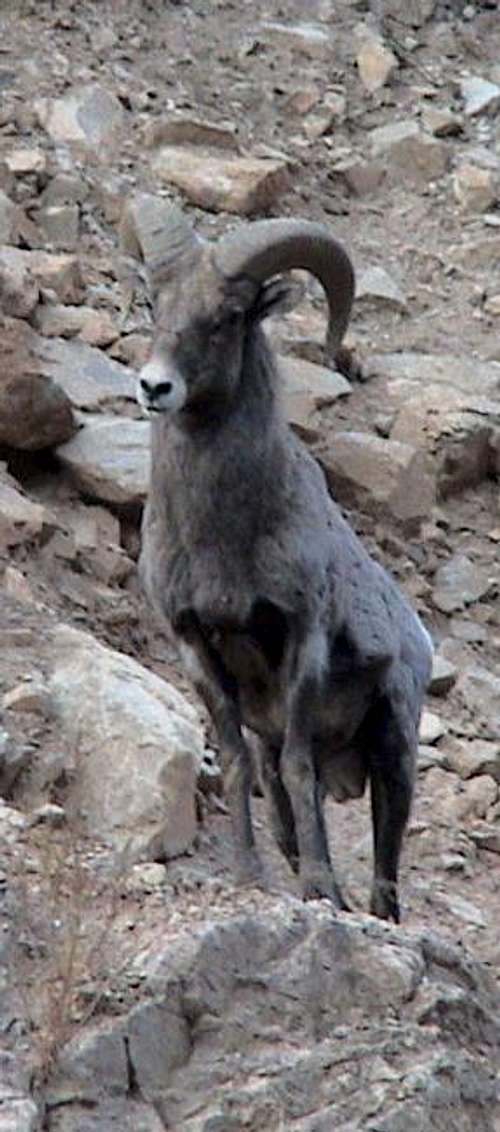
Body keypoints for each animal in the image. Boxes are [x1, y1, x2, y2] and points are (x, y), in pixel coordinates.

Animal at [137, 208, 434, 923]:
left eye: (227, 316)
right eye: (155, 304)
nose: (155, 387)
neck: (223, 539)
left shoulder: (304, 639)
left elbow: (302, 766)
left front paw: (319, 890)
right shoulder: (196, 647)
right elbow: (237, 762)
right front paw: (249, 874)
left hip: (394, 750)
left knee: (386, 861)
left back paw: (365, 909)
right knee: (286, 818)